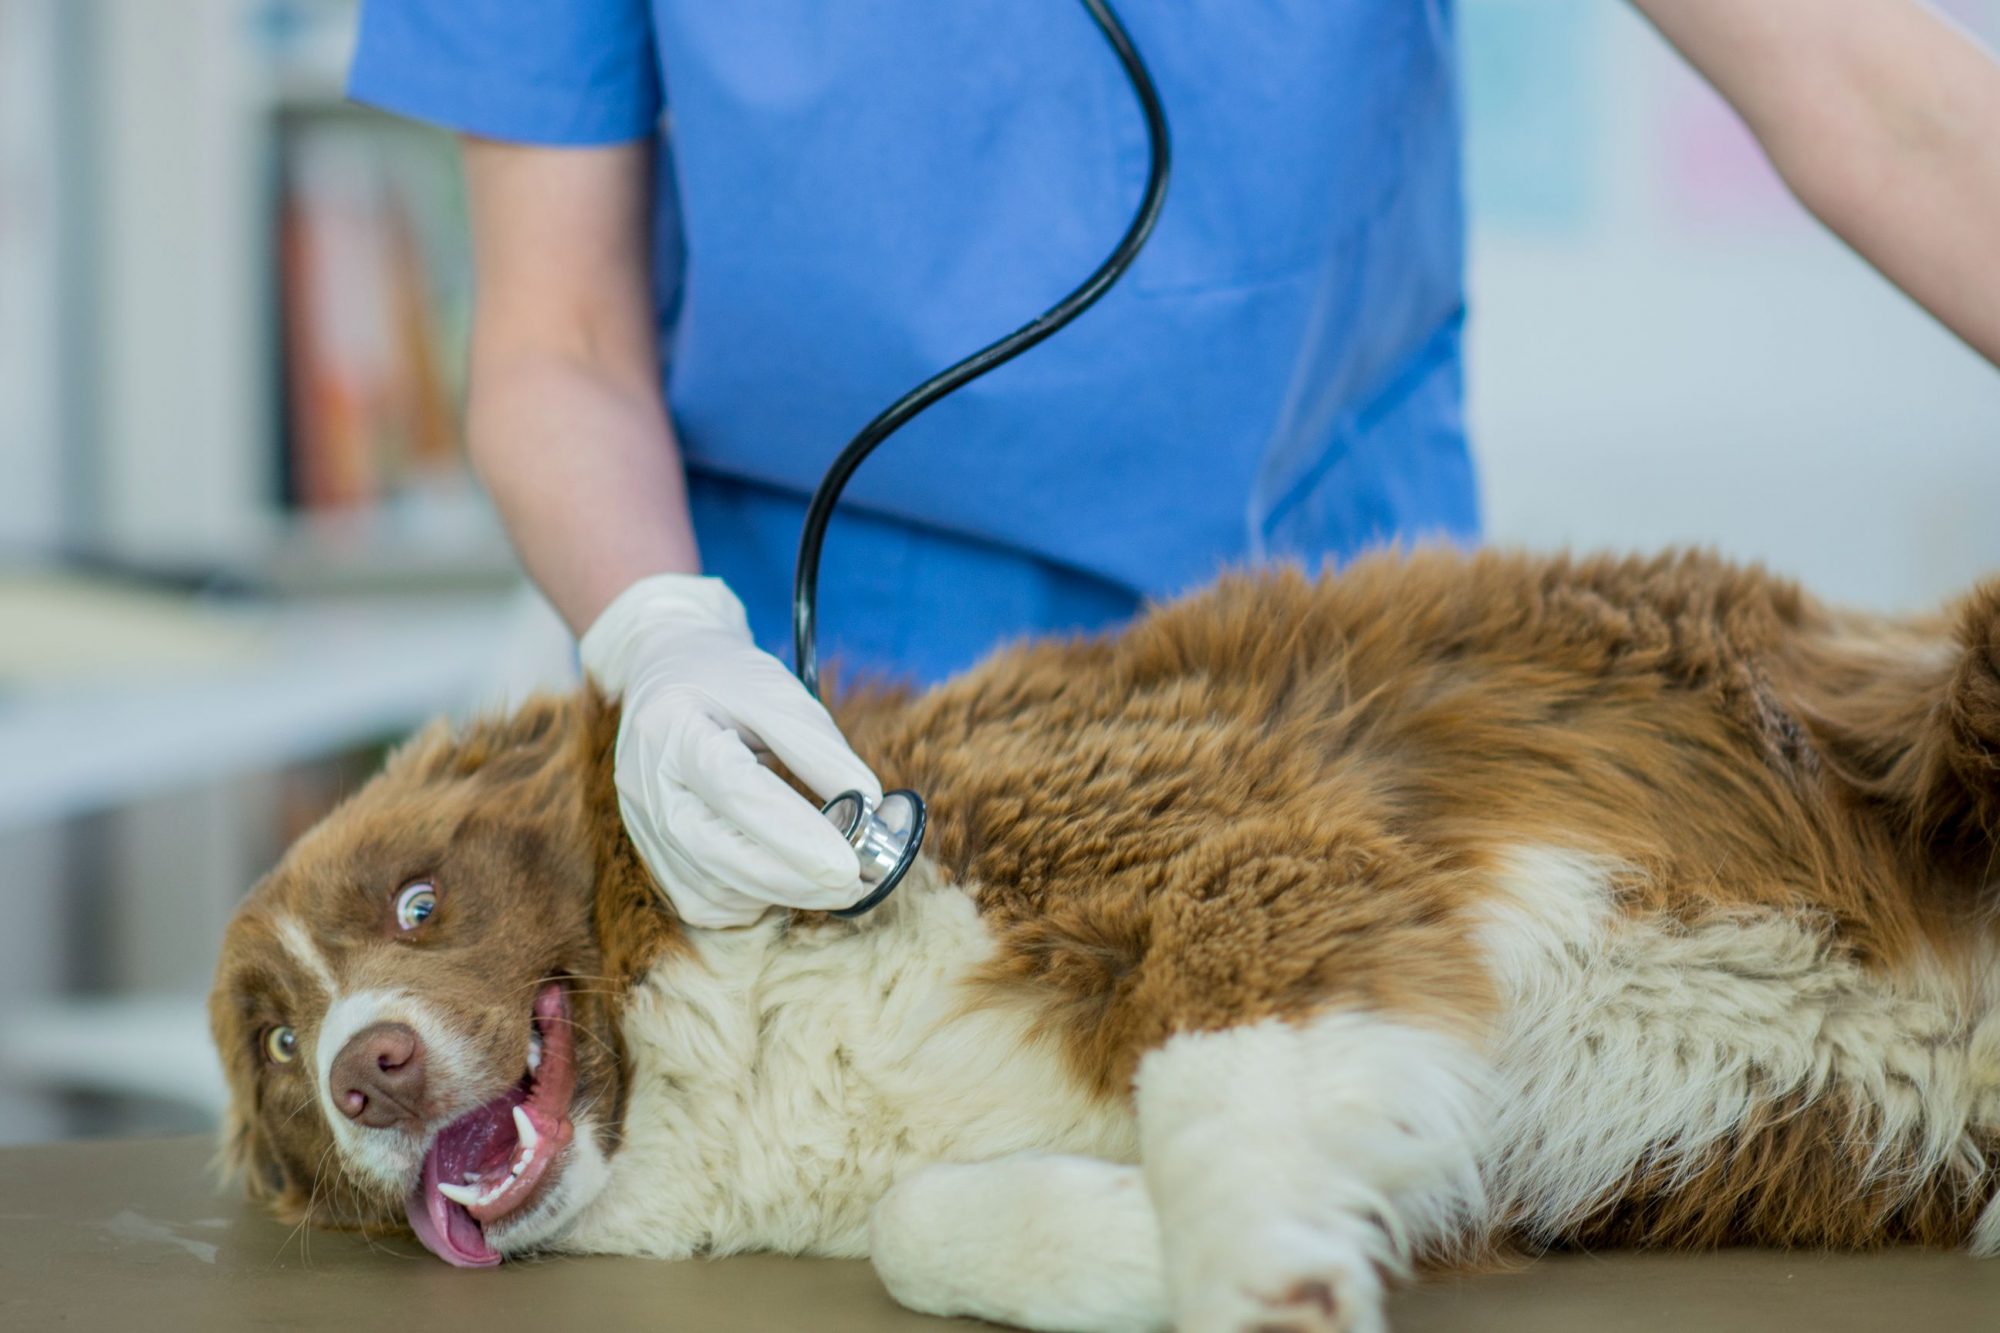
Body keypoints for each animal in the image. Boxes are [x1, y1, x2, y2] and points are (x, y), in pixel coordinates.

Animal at [207, 548, 2000, 1328]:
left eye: (420, 901)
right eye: (278, 1045)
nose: (371, 1067)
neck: (745, 1016)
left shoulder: (1236, 840)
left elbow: (1215, 1078)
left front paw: (1259, 1266)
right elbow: (922, 1226)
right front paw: (1154, 1241)